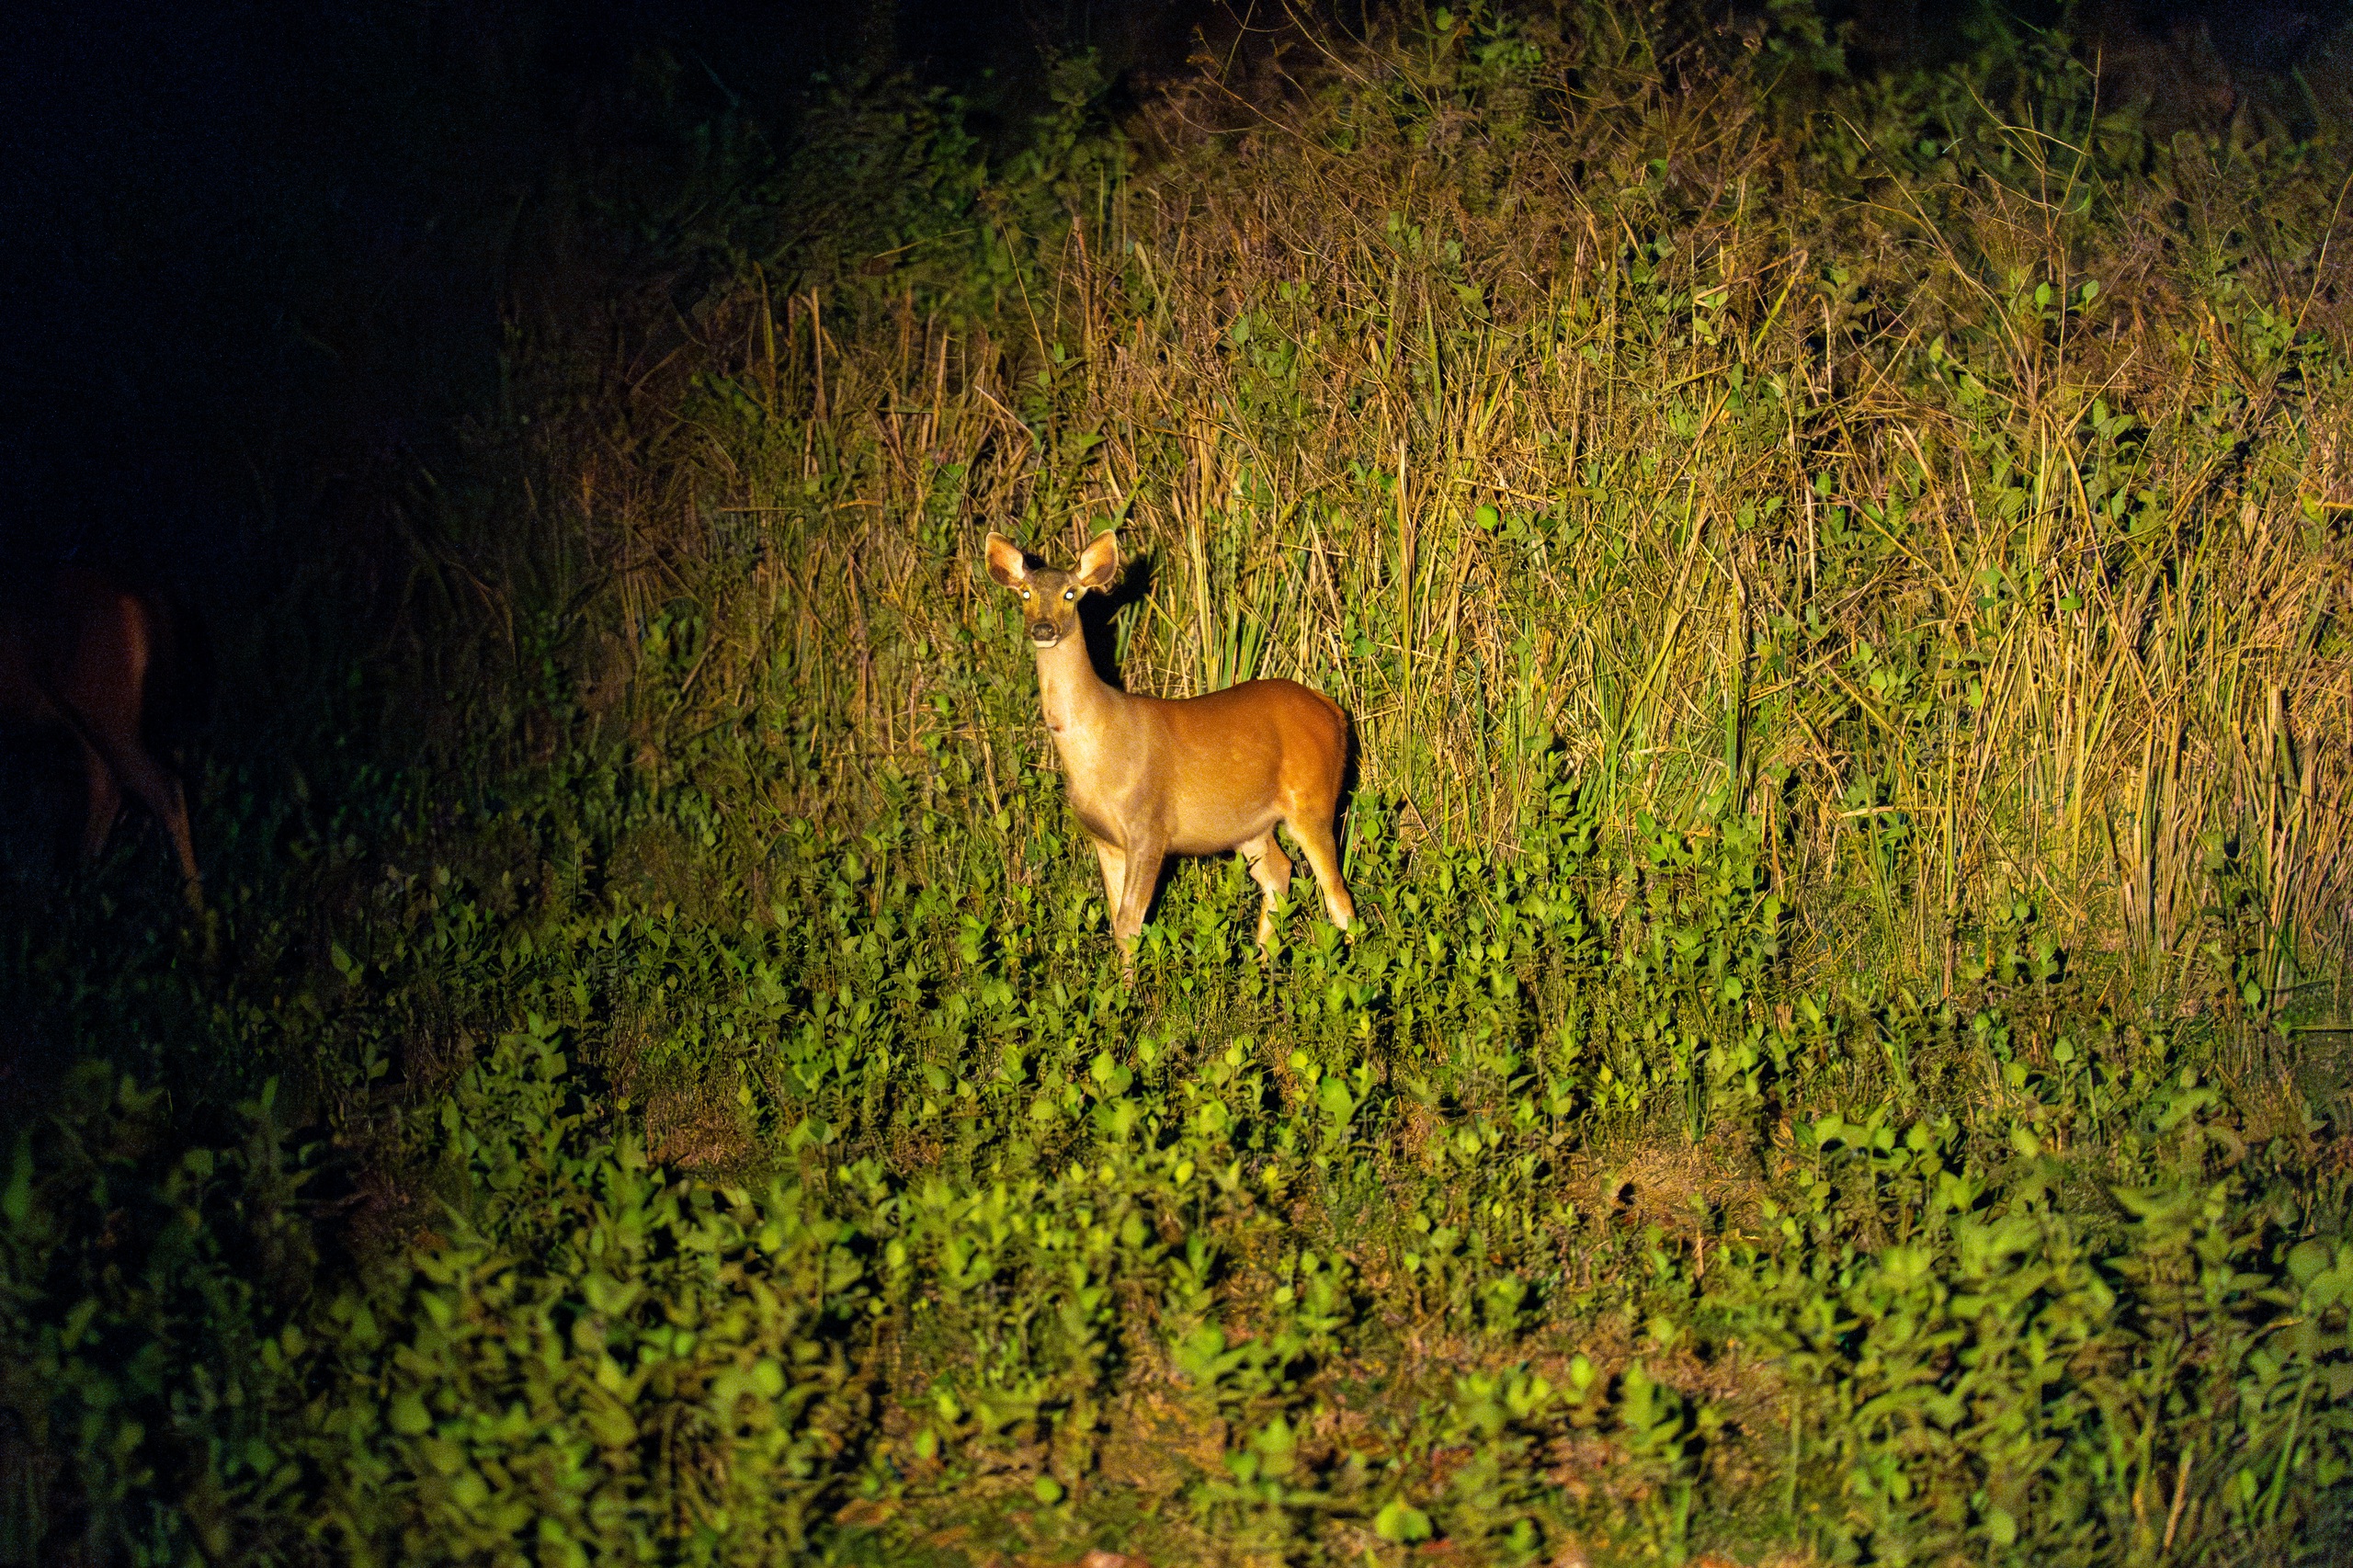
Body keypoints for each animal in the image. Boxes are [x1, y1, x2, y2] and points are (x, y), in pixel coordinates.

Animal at [0, 562, 204, 908]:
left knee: (164, 788)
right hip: (84, 719)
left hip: (107, 715)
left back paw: (196, 910)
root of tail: (143, 595)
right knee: (107, 789)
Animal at [978, 525, 1355, 965]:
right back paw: (1258, 966)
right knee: (1279, 874)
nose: (1043, 629)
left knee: (1337, 894)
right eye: (1025, 593)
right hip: (1250, 825)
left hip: (1312, 798)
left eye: (1071, 593)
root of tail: (1333, 710)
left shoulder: (1149, 827)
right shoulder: (1103, 839)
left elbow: (1130, 924)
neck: (1098, 747)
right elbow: (1116, 923)